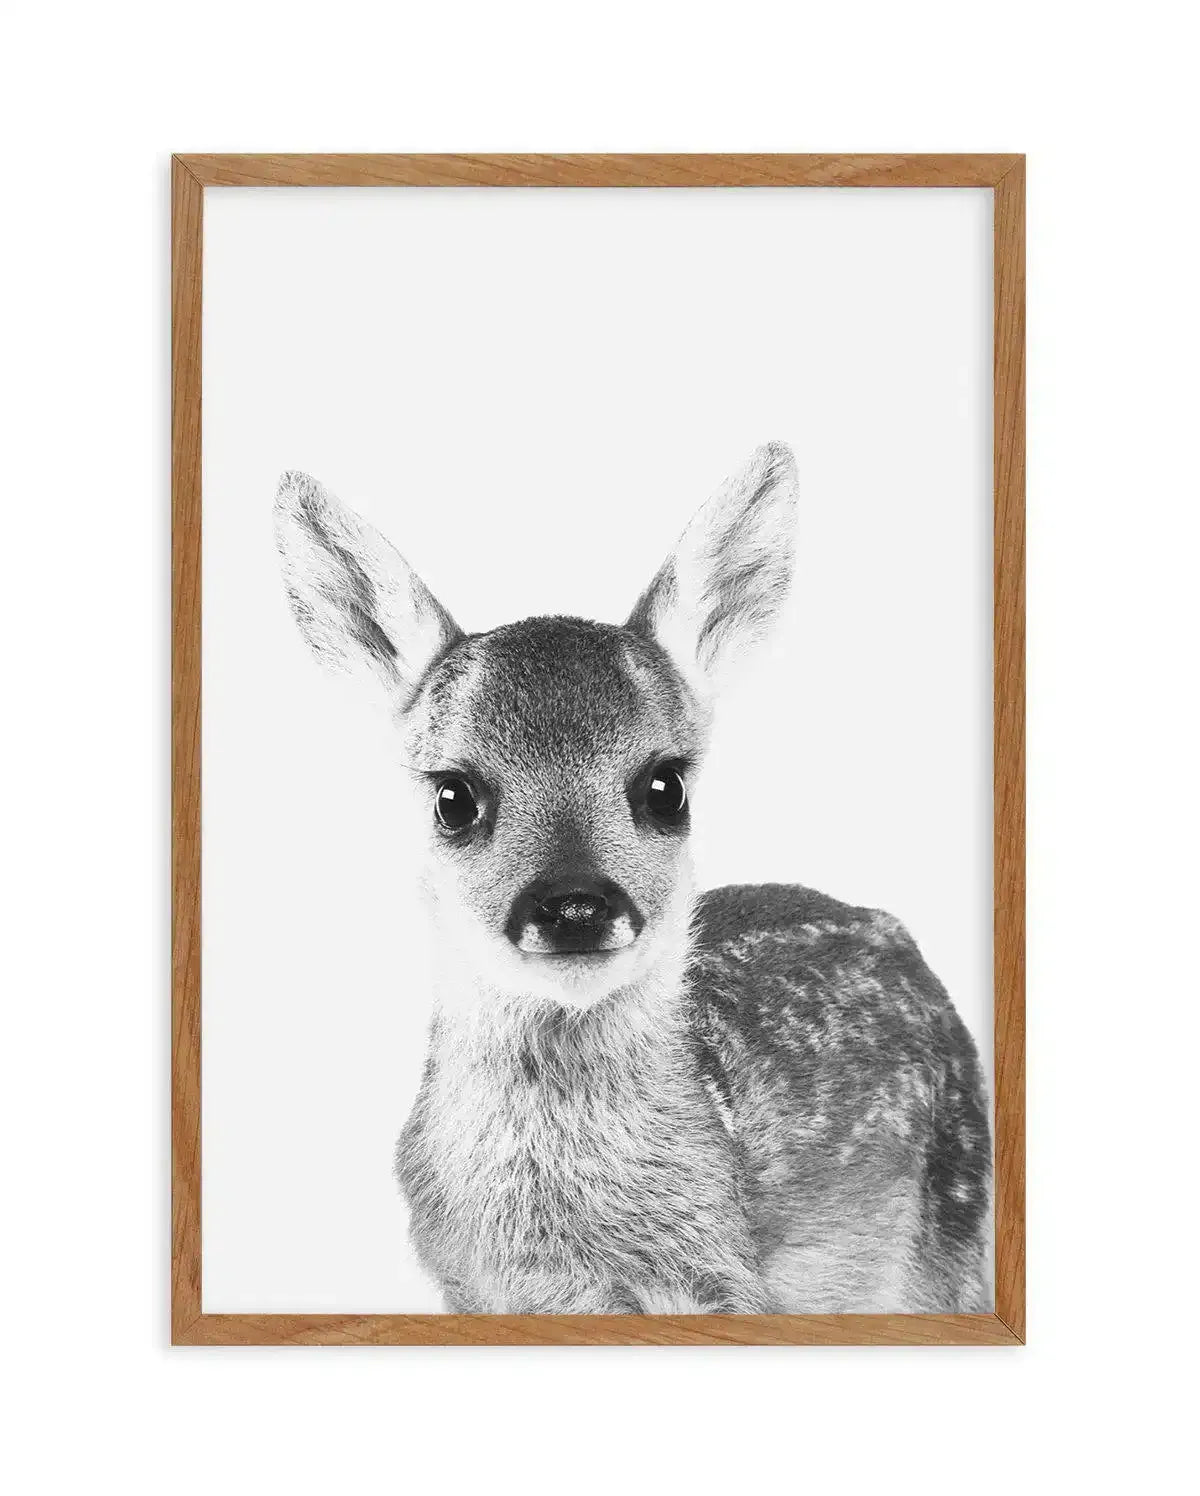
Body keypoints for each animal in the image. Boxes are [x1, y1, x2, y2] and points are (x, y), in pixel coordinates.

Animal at [274, 443, 992, 1315]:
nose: (575, 905)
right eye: (452, 796)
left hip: (956, 1226)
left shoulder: (724, 1278)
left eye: (666, 786)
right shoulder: (465, 1286)